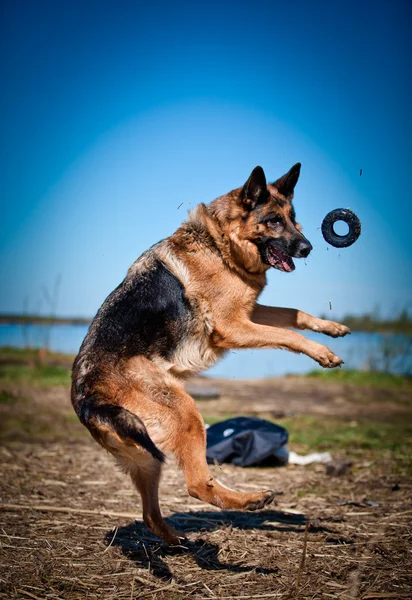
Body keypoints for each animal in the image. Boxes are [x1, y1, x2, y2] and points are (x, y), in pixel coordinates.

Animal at [71, 164, 348, 544]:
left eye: (294, 219)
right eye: (274, 221)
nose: (307, 248)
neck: (220, 245)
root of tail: (87, 397)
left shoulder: (250, 312)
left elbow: (294, 314)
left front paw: (331, 328)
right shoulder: (234, 326)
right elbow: (288, 333)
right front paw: (323, 353)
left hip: (145, 458)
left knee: (149, 513)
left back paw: (177, 540)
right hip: (186, 413)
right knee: (197, 484)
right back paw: (250, 501)